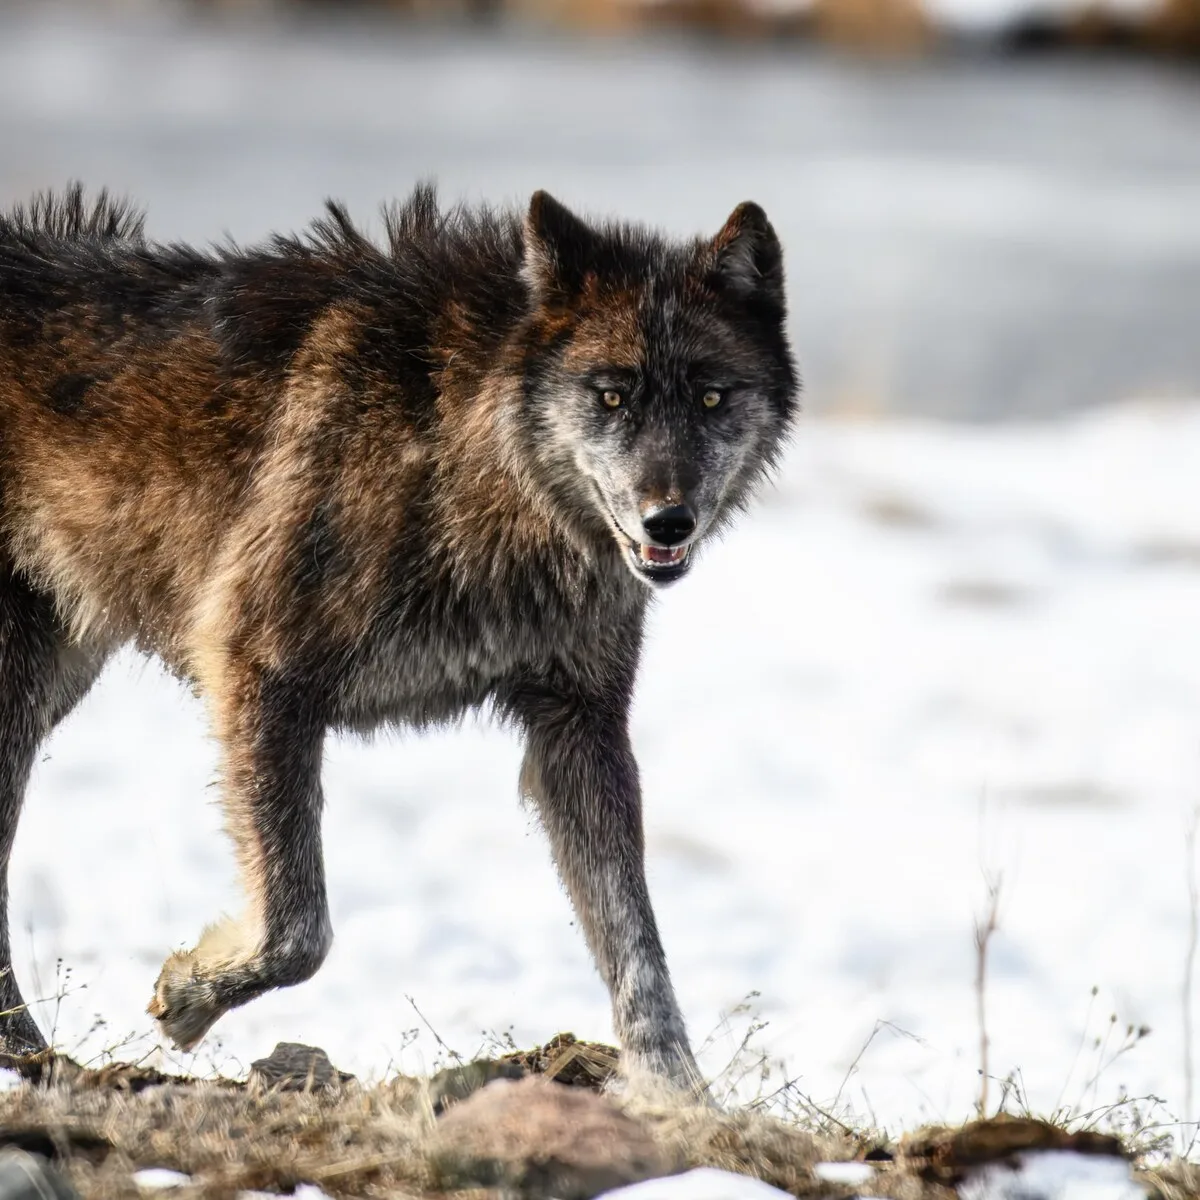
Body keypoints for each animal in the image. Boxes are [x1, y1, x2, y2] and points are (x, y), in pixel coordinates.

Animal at [0, 182, 798, 1082]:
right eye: (612, 395)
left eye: (711, 396)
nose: (669, 520)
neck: (462, 456)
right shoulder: (259, 669)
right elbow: (298, 930)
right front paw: (190, 994)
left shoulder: (579, 723)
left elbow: (636, 944)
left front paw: (677, 1096)